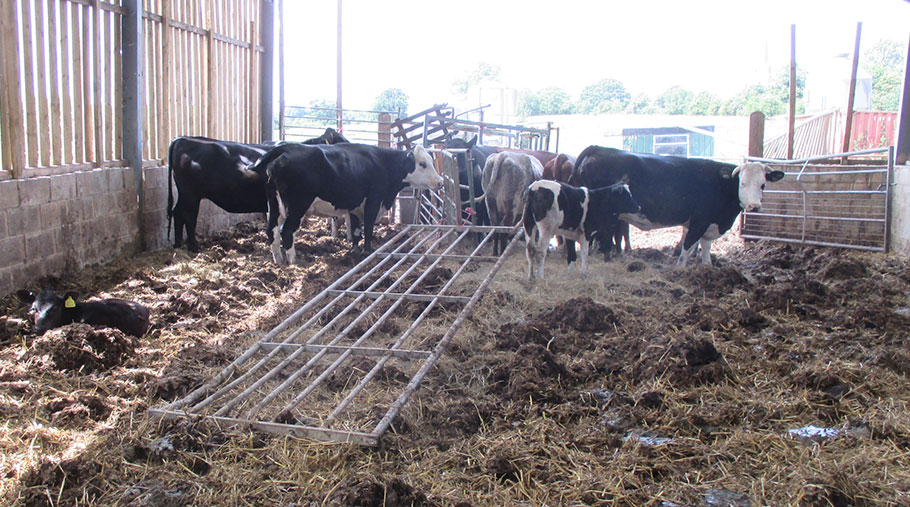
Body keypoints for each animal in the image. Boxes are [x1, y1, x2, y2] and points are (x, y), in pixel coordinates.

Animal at [255, 141, 444, 264]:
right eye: (422, 164)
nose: (440, 182)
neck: (383, 163)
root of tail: (285, 148)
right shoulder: (374, 199)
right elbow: (368, 227)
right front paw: (368, 250)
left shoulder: (355, 205)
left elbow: (355, 229)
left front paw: (355, 250)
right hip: (298, 206)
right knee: (286, 231)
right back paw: (294, 262)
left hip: (274, 205)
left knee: (272, 231)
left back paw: (279, 261)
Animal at [572, 146, 788, 266]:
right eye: (742, 183)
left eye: (763, 184)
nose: (754, 206)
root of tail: (598, 148)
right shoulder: (699, 221)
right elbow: (687, 246)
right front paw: (680, 268)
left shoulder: (708, 224)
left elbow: (705, 247)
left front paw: (707, 267)